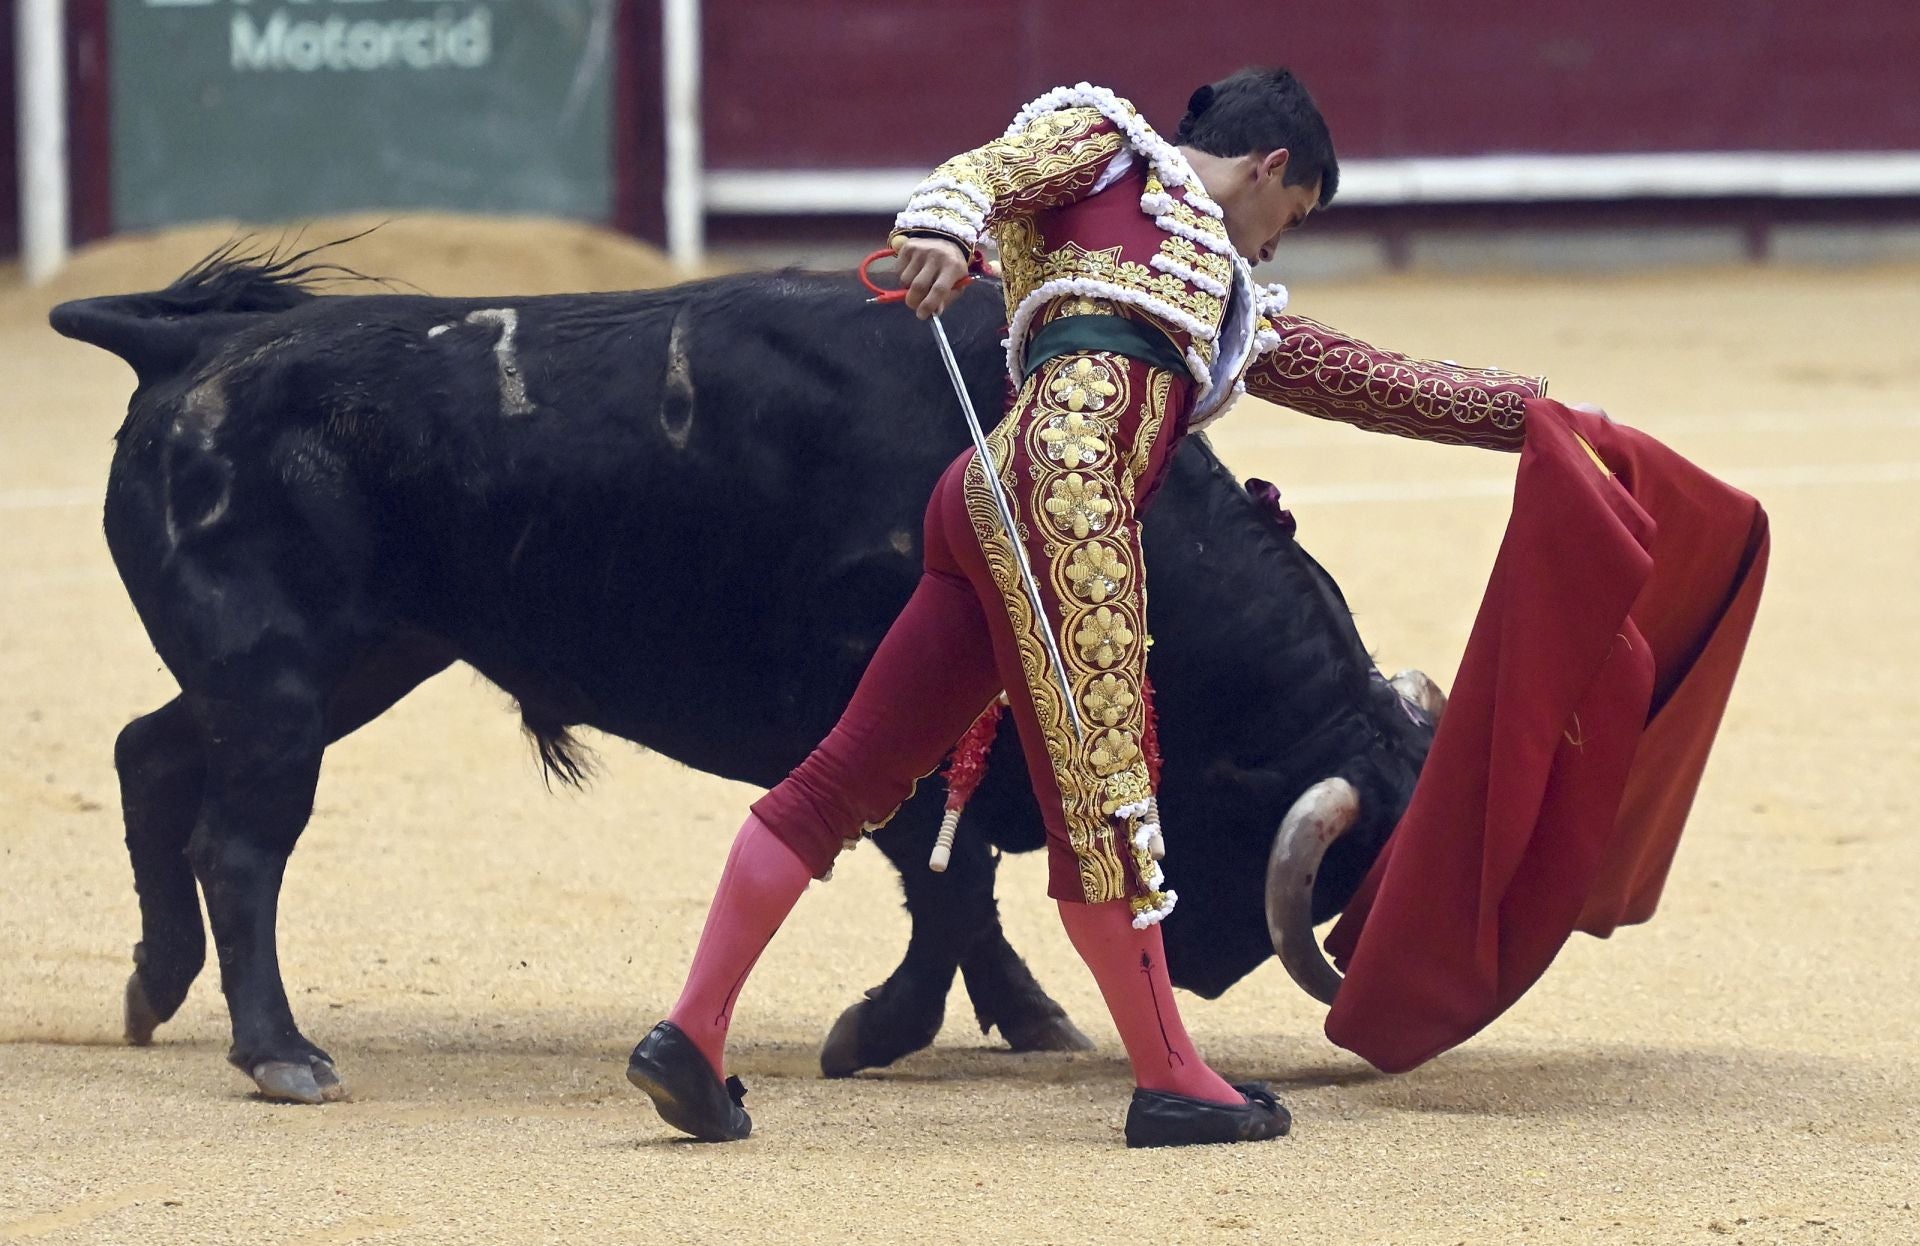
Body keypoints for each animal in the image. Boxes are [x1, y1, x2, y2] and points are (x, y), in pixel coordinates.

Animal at [52, 245, 1443, 1098]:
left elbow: (965, 883)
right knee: (241, 845)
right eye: (1345, 873)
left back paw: (153, 985)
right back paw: (280, 1051)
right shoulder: (888, 712)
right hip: (281, 684)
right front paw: (879, 1031)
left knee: (147, 750)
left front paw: (1025, 1016)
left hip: (361, 662)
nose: (1202, 963)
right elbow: (945, 880)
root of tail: (181, 353)